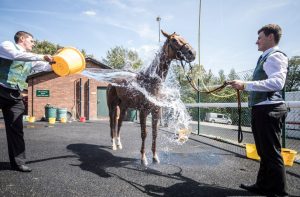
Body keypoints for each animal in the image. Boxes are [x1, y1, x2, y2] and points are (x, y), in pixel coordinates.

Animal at [106, 30, 196, 165]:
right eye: (174, 40)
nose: (192, 53)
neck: (151, 82)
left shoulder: (156, 111)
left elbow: (155, 134)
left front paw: (154, 157)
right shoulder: (143, 112)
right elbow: (144, 134)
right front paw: (143, 158)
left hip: (123, 107)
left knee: (119, 123)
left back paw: (119, 144)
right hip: (112, 106)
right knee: (112, 123)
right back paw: (113, 145)